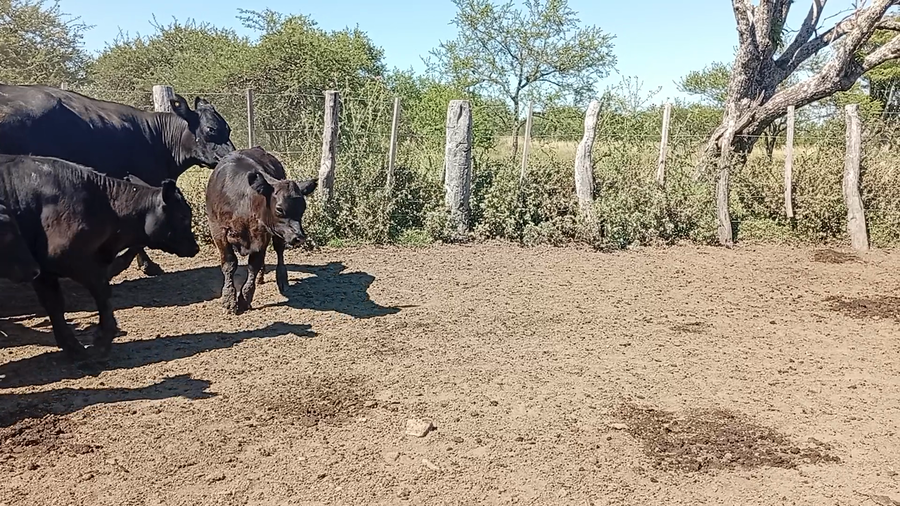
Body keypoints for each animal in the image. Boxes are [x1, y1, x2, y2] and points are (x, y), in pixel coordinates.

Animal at [0, 154, 200, 357]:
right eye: (183, 216)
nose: (195, 247)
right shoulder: (68, 261)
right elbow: (100, 292)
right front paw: (101, 340)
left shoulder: (42, 270)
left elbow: (54, 304)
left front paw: (73, 347)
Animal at [205, 147, 317, 314]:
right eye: (279, 209)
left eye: (303, 208)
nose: (299, 237)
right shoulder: (218, 231)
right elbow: (229, 264)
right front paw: (229, 299)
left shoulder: (262, 236)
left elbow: (254, 265)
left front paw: (245, 298)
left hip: (277, 234)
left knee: (279, 251)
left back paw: (281, 279)